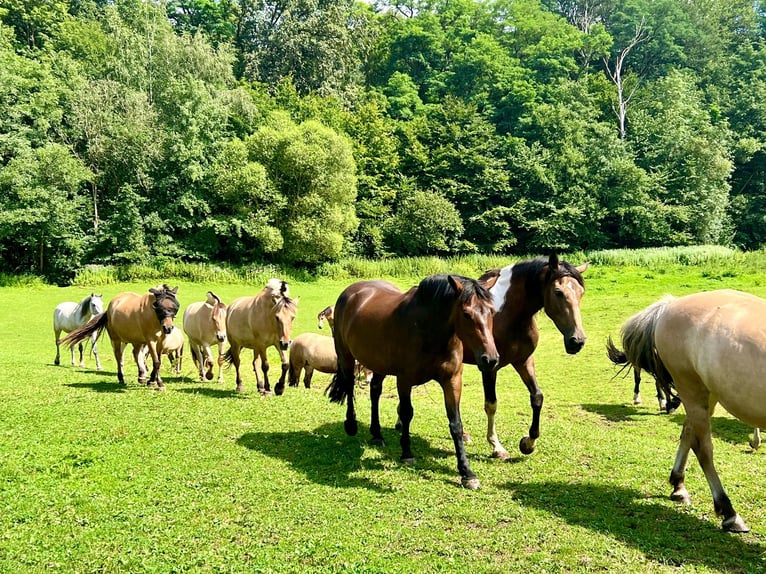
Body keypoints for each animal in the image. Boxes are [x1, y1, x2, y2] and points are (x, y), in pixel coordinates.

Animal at [328, 276, 500, 490]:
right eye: (467, 314)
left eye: (492, 311)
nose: (490, 359)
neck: (429, 330)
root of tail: (350, 291)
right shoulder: (405, 380)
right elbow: (406, 413)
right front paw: (407, 453)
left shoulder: (452, 380)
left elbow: (456, 424)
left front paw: (467, 472)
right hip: (346, 356)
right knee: (350, 386)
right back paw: (351, 425)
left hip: (379, 364)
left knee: (375, 391)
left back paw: (377, 434)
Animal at [464, 254, 592, 462]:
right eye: (558, 291)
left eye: (581, 292)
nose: (577, 341)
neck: (506, 314)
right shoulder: (489, 368)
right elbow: (491, 405)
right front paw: (497, 447)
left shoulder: (524, 360)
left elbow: (537, 397)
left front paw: (528, 443)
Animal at [608, 292, 766, 536]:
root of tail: (670, 305)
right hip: (692, 388)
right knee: (702, 448)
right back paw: (728, 512)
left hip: (705, 395)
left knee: (687, 432)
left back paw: (678, 486)